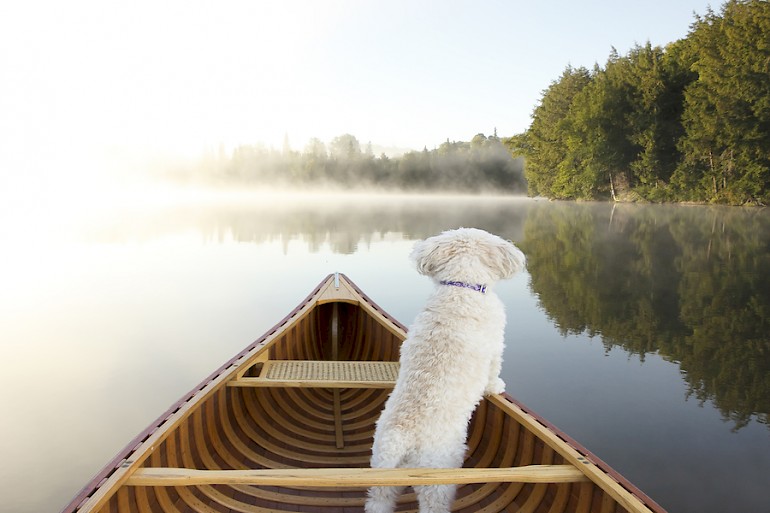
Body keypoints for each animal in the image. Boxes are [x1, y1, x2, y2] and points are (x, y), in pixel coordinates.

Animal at [364, 226, 524, 512]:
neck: (461, 288)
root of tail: (400, 439)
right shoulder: (496, 345)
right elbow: (494, 371)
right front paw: (497, 387)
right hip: (438, 479)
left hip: (383, 475)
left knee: (378, 502)